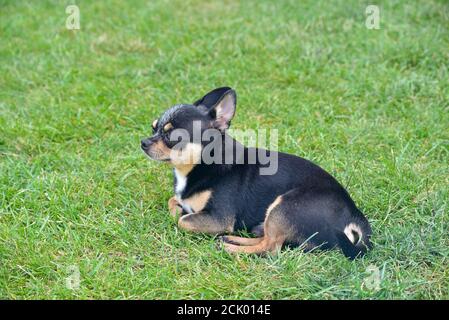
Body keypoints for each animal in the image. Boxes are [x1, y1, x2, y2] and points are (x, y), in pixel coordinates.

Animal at [141, 87, 372, 260]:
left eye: (173, 137)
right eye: (153, 128)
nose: (143, 142)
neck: (200, 165)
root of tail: (354, 215)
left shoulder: (219, 218)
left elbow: (183, 221)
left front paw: (181, 215)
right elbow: (173, 201)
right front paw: (178, 209)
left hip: (284, 207)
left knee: (271, 248)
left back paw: (232, 248)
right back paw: (236, 239)